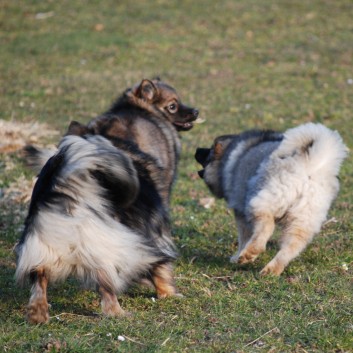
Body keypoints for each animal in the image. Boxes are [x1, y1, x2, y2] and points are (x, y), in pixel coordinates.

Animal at [195, 123, 346, 276]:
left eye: (209, 151)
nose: (197, 149)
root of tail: (308, 166)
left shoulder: (240, 212)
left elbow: (243, 237)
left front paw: (236, 257)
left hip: (262, 201)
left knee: (266, 228)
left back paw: (250, 253)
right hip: (303, 220)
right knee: (290, 247)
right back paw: (271, 270)